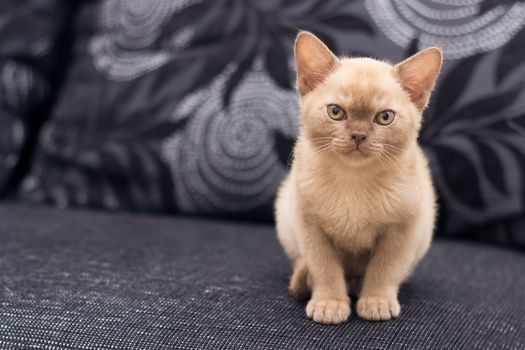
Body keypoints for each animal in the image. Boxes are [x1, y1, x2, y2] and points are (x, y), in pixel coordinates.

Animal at [276, 31, 440, 324]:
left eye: (384, 117)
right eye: (336, 112)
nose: (359, 135)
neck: (354, 179)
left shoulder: (402, 228)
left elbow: (384, 268)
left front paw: (376, 301)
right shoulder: (310, 225)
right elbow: (325, 267)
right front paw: (330, 303)